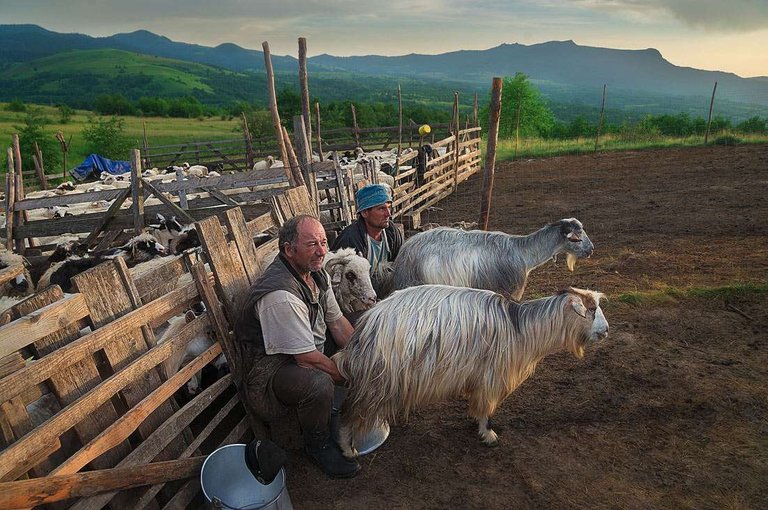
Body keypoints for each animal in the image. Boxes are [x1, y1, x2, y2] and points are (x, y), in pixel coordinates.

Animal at [332, 284, 608, 456]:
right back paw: (348, 450)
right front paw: (488, 434)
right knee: (349, 413)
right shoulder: (492, 377)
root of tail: (363, 330)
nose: (605, 331)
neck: (520, 329)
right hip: (377, 382)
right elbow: (487, 409)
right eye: (590, 311)